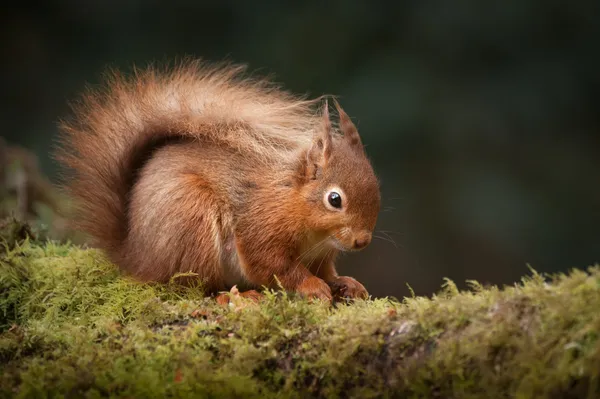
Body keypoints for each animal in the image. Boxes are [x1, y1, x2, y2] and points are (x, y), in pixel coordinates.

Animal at [58, 61, 382, 302]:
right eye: (334, 199)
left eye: (378, 191)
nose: (362, 241)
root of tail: (135, 257)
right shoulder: (259, 226)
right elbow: (274, 266)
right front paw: (312, 286)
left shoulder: (320, 255)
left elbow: (325, 271)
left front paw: (344, 283)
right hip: (191, 219)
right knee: (193, 287)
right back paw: (235, 297)